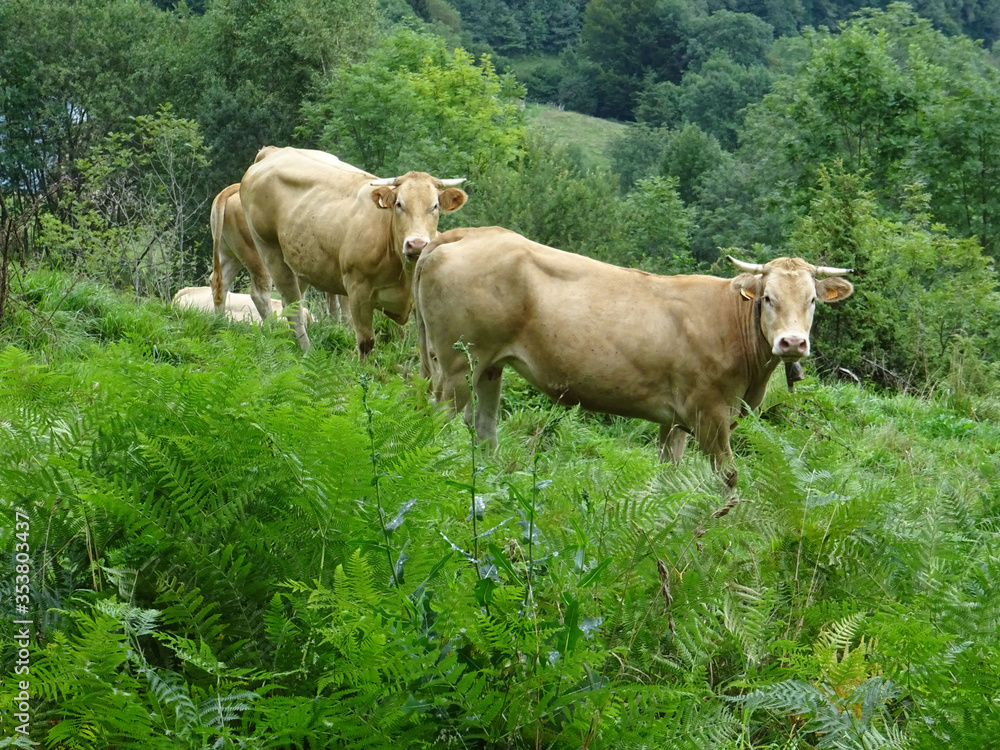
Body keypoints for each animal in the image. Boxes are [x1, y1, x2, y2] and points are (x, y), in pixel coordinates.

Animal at [239, 146, 467, 353]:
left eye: (435, 206)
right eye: (399, 204)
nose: (417, 244)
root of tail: (275, 151)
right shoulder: (359, 291)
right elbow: (366, 342)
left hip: (299, 259)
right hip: (269, 251)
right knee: (290, 304)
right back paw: (305, 349)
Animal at [413, 226, 853, 488]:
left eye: (812, 300)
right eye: (768, 298)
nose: (792, 343)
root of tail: (465, 233)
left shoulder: (676, 419)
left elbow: (668, 475)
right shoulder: (709, 414)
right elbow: (727, 477)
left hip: (488, 366)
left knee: (484, 428)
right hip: (456, 365)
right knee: (440, 419)